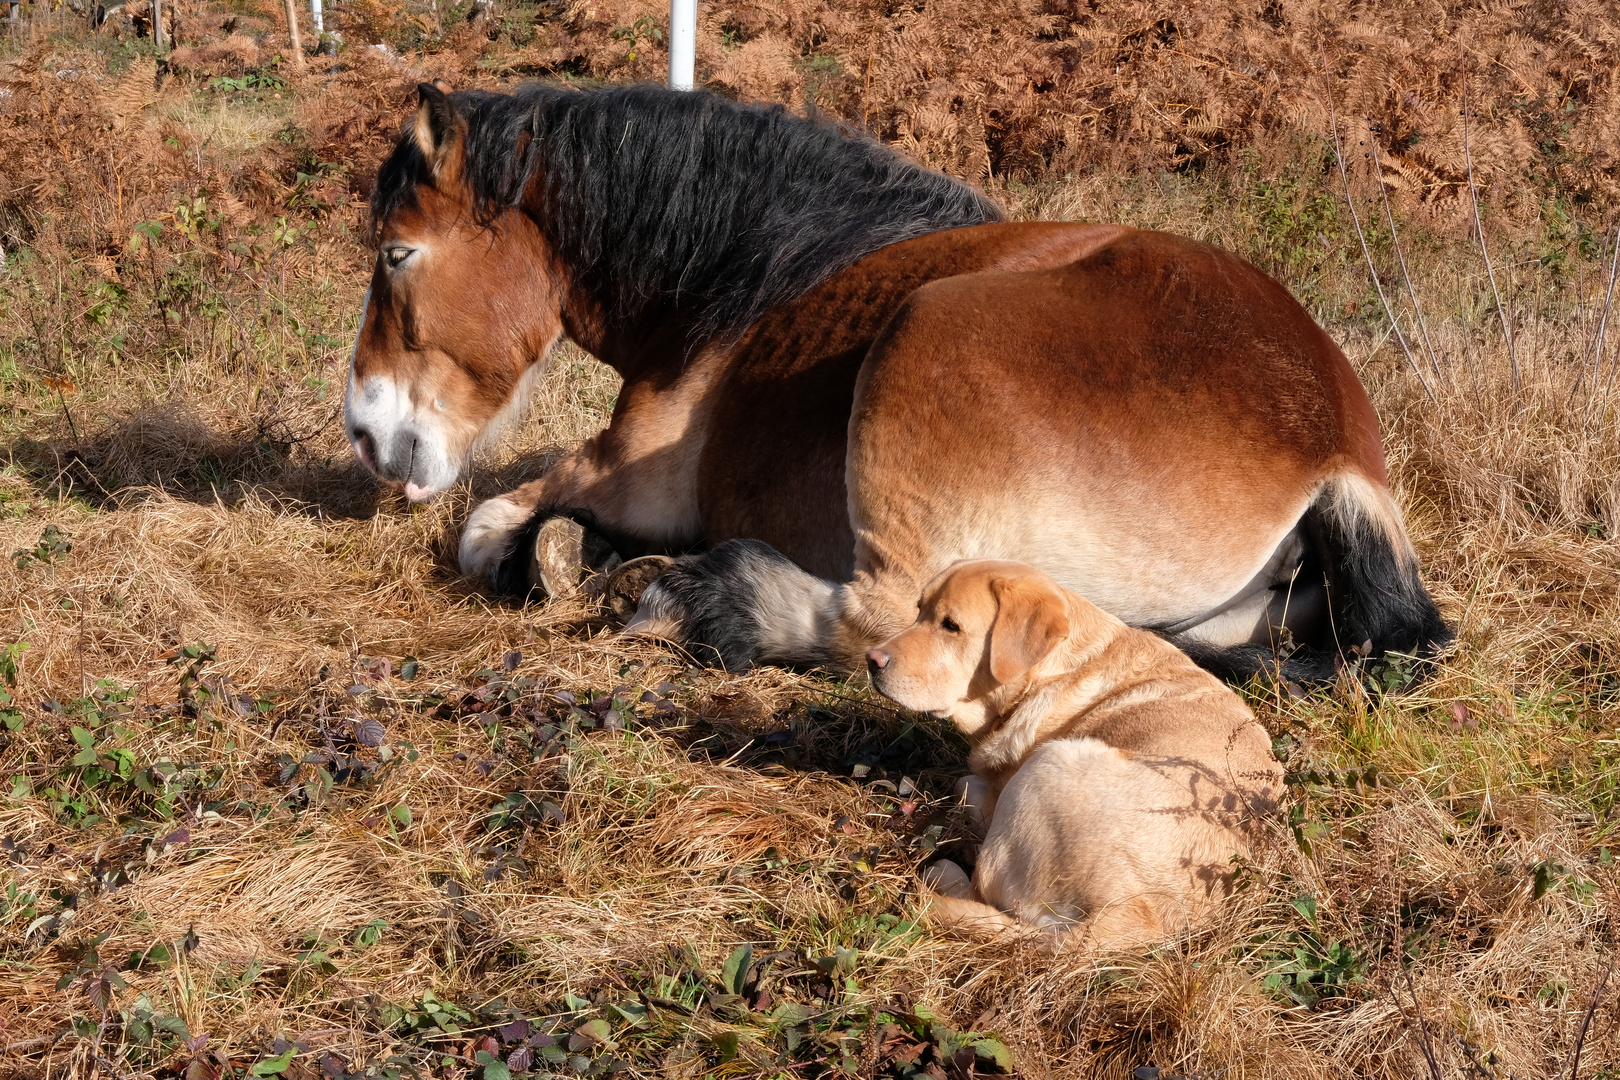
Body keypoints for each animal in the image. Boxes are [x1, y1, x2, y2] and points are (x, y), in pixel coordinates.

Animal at [348, 80, 1451, 680]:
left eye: (397, 254)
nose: (365, 431)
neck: (749, 282)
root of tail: (1334, 451)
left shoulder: (633, 471)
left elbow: (487, 527)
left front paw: (563, 557)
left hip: (925, 341)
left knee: (873, 615)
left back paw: (700, 598)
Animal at [868, 563, 1283, 939]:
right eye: (919, 610)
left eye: (950, 626)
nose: (872, 660)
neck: (1056, 672)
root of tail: (1121, 918)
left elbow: (968, 784)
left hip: (1051, 762)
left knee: (980, 888)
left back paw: (945, 871)